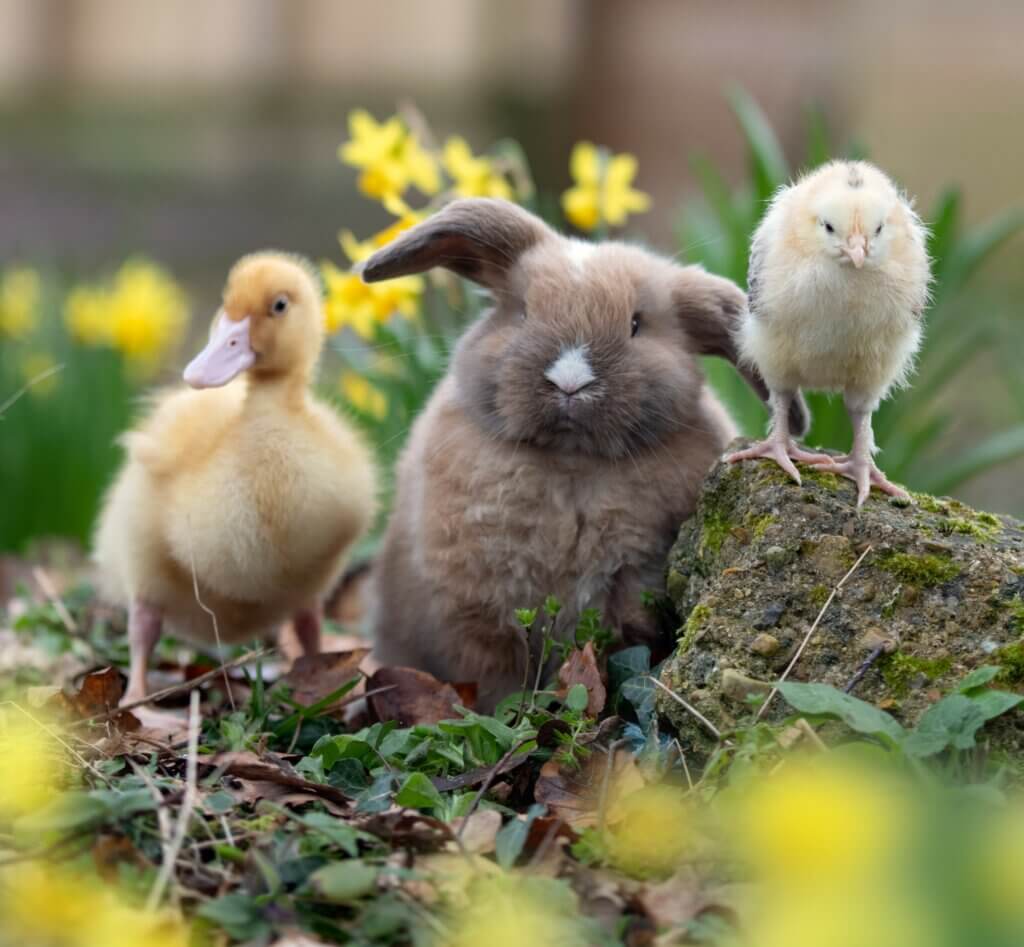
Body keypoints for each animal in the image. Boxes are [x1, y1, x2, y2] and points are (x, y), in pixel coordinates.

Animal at [360, 197, 806, 708]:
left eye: (636, 324)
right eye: (523, 312)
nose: (570, 381)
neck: (571, 466)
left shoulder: (630, 595)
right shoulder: (475, 616)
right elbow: (496, 682)